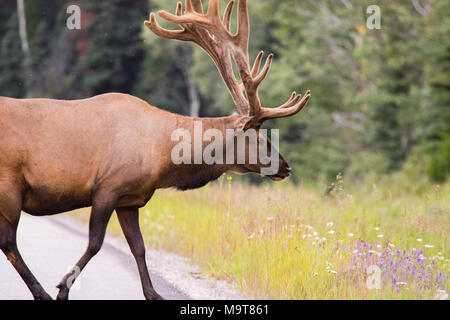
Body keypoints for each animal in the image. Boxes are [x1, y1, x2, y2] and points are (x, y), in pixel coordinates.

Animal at [0, 0, 310, 300]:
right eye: (260, 139)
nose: (286, 167)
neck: (162, 160)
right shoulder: (106, 187)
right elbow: (95, 243)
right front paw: (63, 287)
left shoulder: (129, 199)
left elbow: (139, 246)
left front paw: (153, 293)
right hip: (9, 185)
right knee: (8, 241)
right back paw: (41, 292)